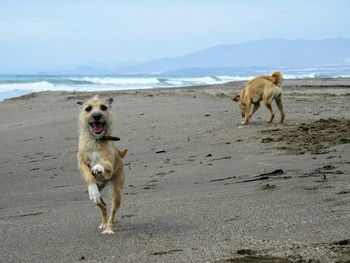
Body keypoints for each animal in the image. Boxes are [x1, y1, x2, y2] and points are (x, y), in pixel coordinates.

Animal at [76, 95, 127, 235]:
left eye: (103, 107)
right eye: (88, 109)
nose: (96, 116)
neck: (96, 141)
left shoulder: (109, 164)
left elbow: (104, 164)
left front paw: (98, 167)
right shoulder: (81, 162)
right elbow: (87, 174)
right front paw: (93, 191)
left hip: (116, 192)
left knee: (112, 210)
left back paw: (108, 228)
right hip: (99, 198)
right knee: (103, 206)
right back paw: (103, 223)